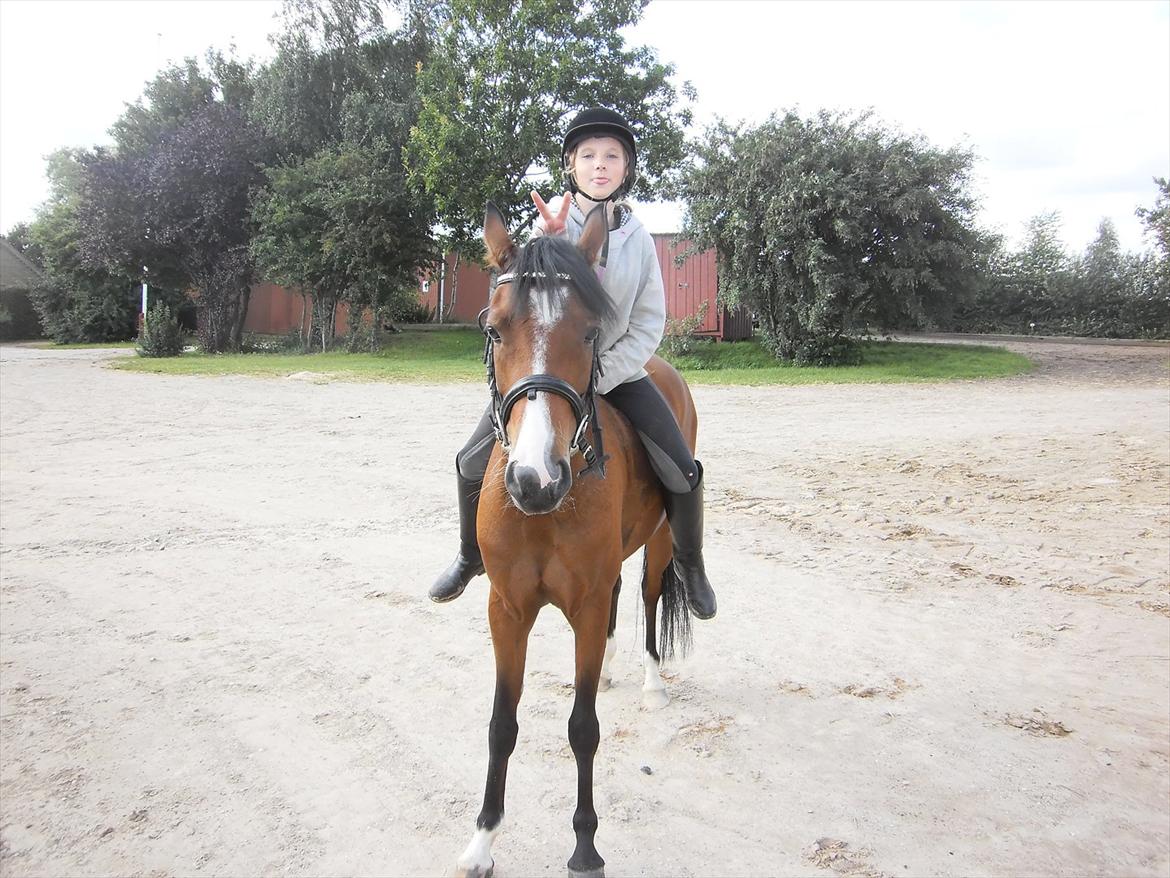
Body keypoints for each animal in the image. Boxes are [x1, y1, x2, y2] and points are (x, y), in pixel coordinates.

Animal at [454, 202, 698, 878]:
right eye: (494, 332)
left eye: (591, 334)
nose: (535, 479)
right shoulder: (507, 611)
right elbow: (501, 725)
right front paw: (482, 840)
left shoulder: (584, 609)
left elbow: (582, 728)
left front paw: (586, 847)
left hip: (660, 545)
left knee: (646, 599)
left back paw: (650, 681)